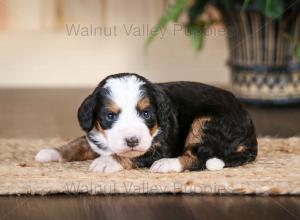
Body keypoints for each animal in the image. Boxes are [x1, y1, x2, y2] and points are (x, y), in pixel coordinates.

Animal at [35, 73, 258, 173]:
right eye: (110, 116)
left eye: (146, 113)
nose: (132, 140)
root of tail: (250, 128)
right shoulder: (95, 137)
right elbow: (79, 143)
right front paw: (52, 152)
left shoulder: (161, 145)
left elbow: (137, 154)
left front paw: (107, 161)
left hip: (206, 122)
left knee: (201, 156)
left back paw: (167, 164)